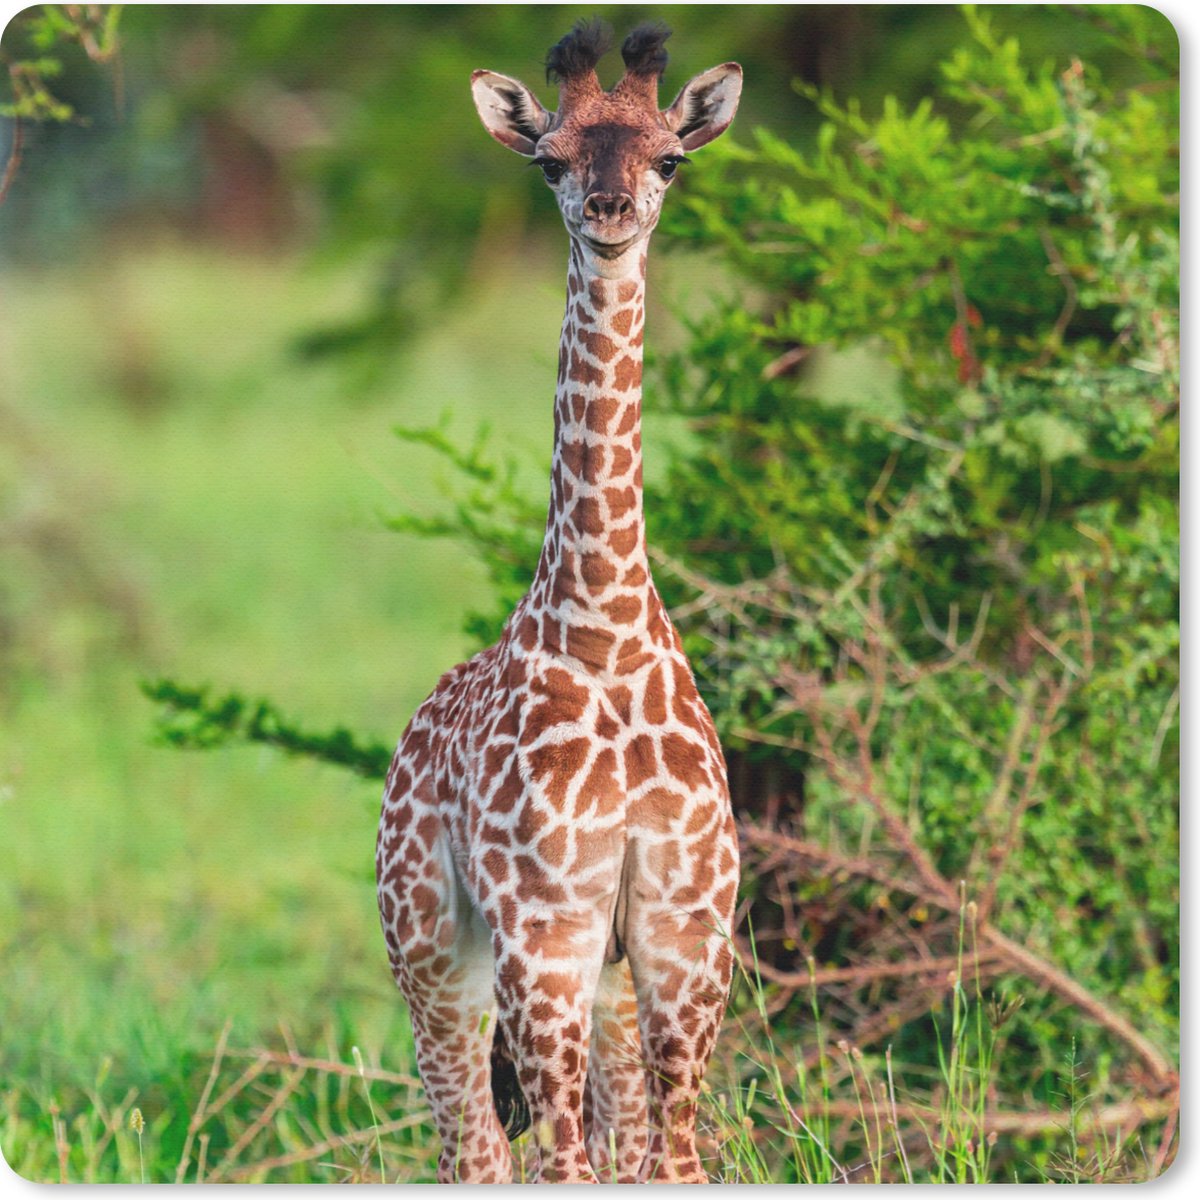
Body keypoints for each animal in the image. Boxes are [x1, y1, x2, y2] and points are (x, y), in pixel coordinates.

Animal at [376, 21, 742, 1184]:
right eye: (550, 162)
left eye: (670, 157)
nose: (612, 213)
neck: (607, 627)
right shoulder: (544, 934)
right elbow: (556, 1163)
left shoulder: (682, 936)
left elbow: (673, 1164)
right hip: (432, 954)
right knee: (475, 1147)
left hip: (607, 986)